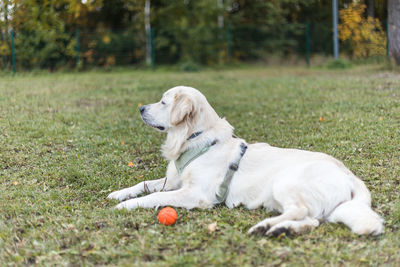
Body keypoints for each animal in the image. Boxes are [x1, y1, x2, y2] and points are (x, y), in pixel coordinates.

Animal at [107, 86, 384, 237]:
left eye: (163, 102)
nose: (141, 108)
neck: (194, 139)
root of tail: (350, 175)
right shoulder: (172, 180)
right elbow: (143, 184)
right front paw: (118, 194)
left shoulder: (195, 194)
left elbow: (154, 196)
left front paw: (125, 206)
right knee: (312, 221)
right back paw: (281, 229)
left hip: (285, 182)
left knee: (301, 211)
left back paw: (265, 226)